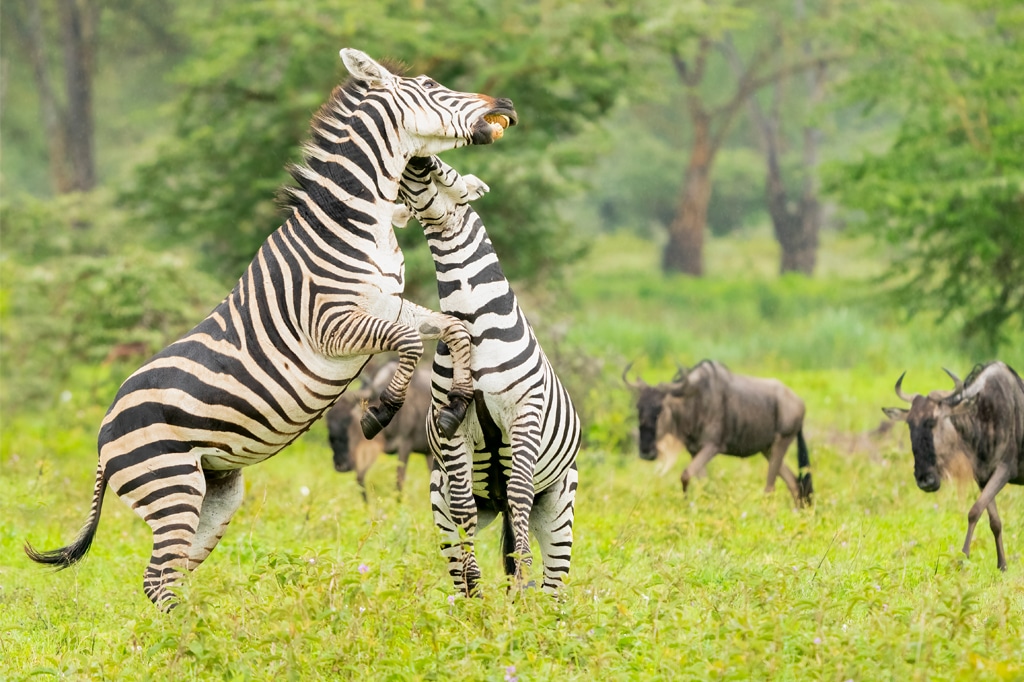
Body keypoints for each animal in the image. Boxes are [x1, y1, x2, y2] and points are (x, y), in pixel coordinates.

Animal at [23, 49, 518, 610]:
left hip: (215, 492)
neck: (352, 222)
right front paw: (381, 410)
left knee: (168, 577)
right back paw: (193, 635)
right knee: (156, 579)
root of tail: (104, 434)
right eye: (433, 86)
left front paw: (455, 402)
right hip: (170, 487)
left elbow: (454, 329)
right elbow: (412, 344)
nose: (506, 104)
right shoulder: (333, 325)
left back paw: (198, 629)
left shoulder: (387, 305)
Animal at [392, 156, 581, 596]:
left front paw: (521, 580)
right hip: (439, 500)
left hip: (559, 506)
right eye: (405, 196)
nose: (418, 157)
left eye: (446, 170)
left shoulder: (524, 413)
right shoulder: (454, 429)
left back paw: (534, 607)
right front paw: (476, 593)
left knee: (553, 582)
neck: (473, 321)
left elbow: (519, 492)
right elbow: (464, 509)